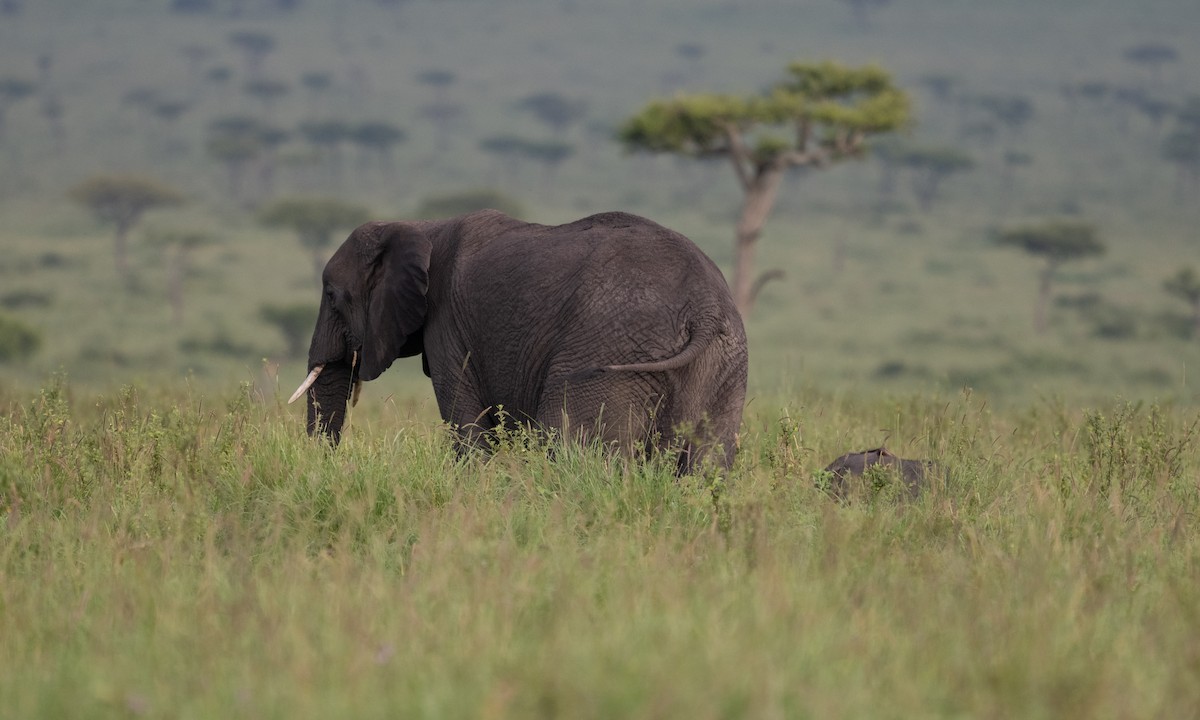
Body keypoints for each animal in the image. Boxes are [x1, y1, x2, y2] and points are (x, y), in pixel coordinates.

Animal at [288, 209, 748, 473]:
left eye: (331, 294)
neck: (420, 228)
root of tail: (704, 310)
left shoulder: (448, 326)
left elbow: (468, 425)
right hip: (725, 366)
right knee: (707, 463)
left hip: (613, 349)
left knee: (570, 445)